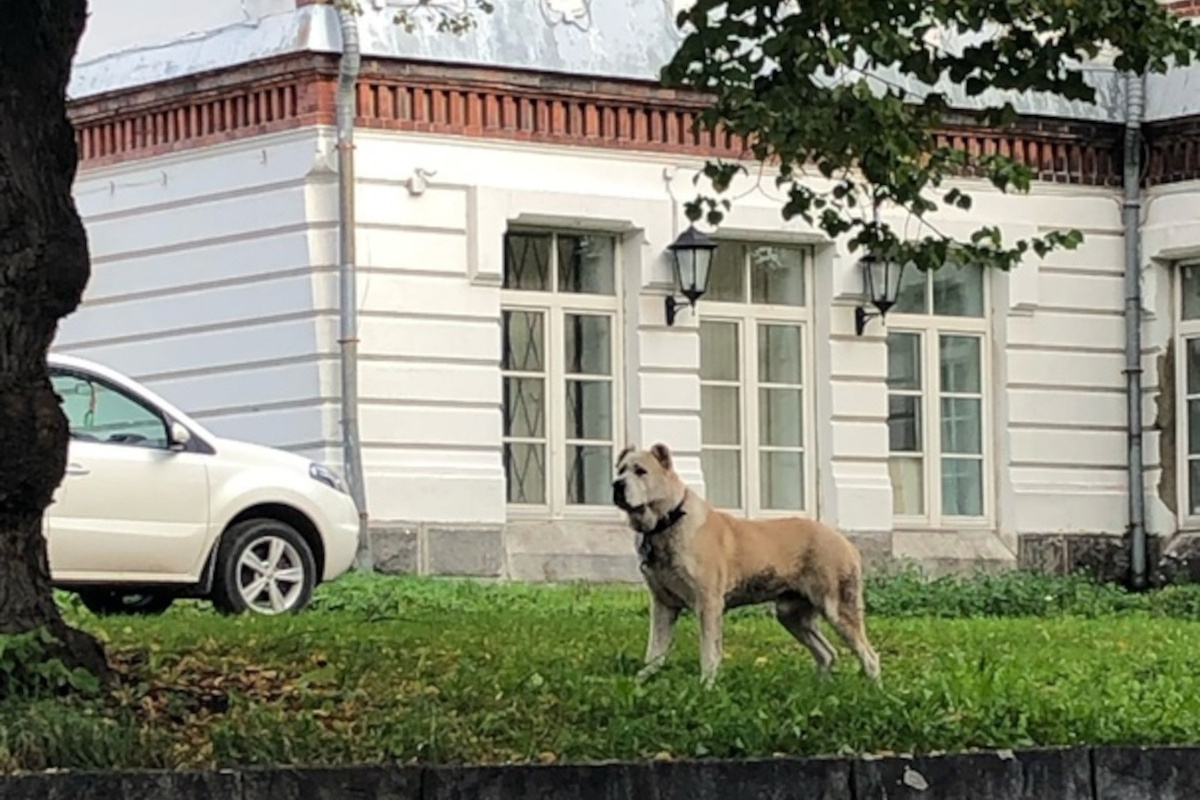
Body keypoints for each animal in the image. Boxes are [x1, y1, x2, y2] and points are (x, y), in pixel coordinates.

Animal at [609, 441, 883, 686]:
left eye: (641, 471)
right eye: (620, 470)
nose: (616, 485)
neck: (668, 522)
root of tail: (845, 542)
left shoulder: (708, 604)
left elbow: (709, 654)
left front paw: (705, 689)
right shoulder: (664, 606)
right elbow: (654, 654)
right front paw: (641, 683)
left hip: (838, 608)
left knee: (869, 657)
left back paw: (874, 691)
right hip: (792, 614)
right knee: (827, 653)